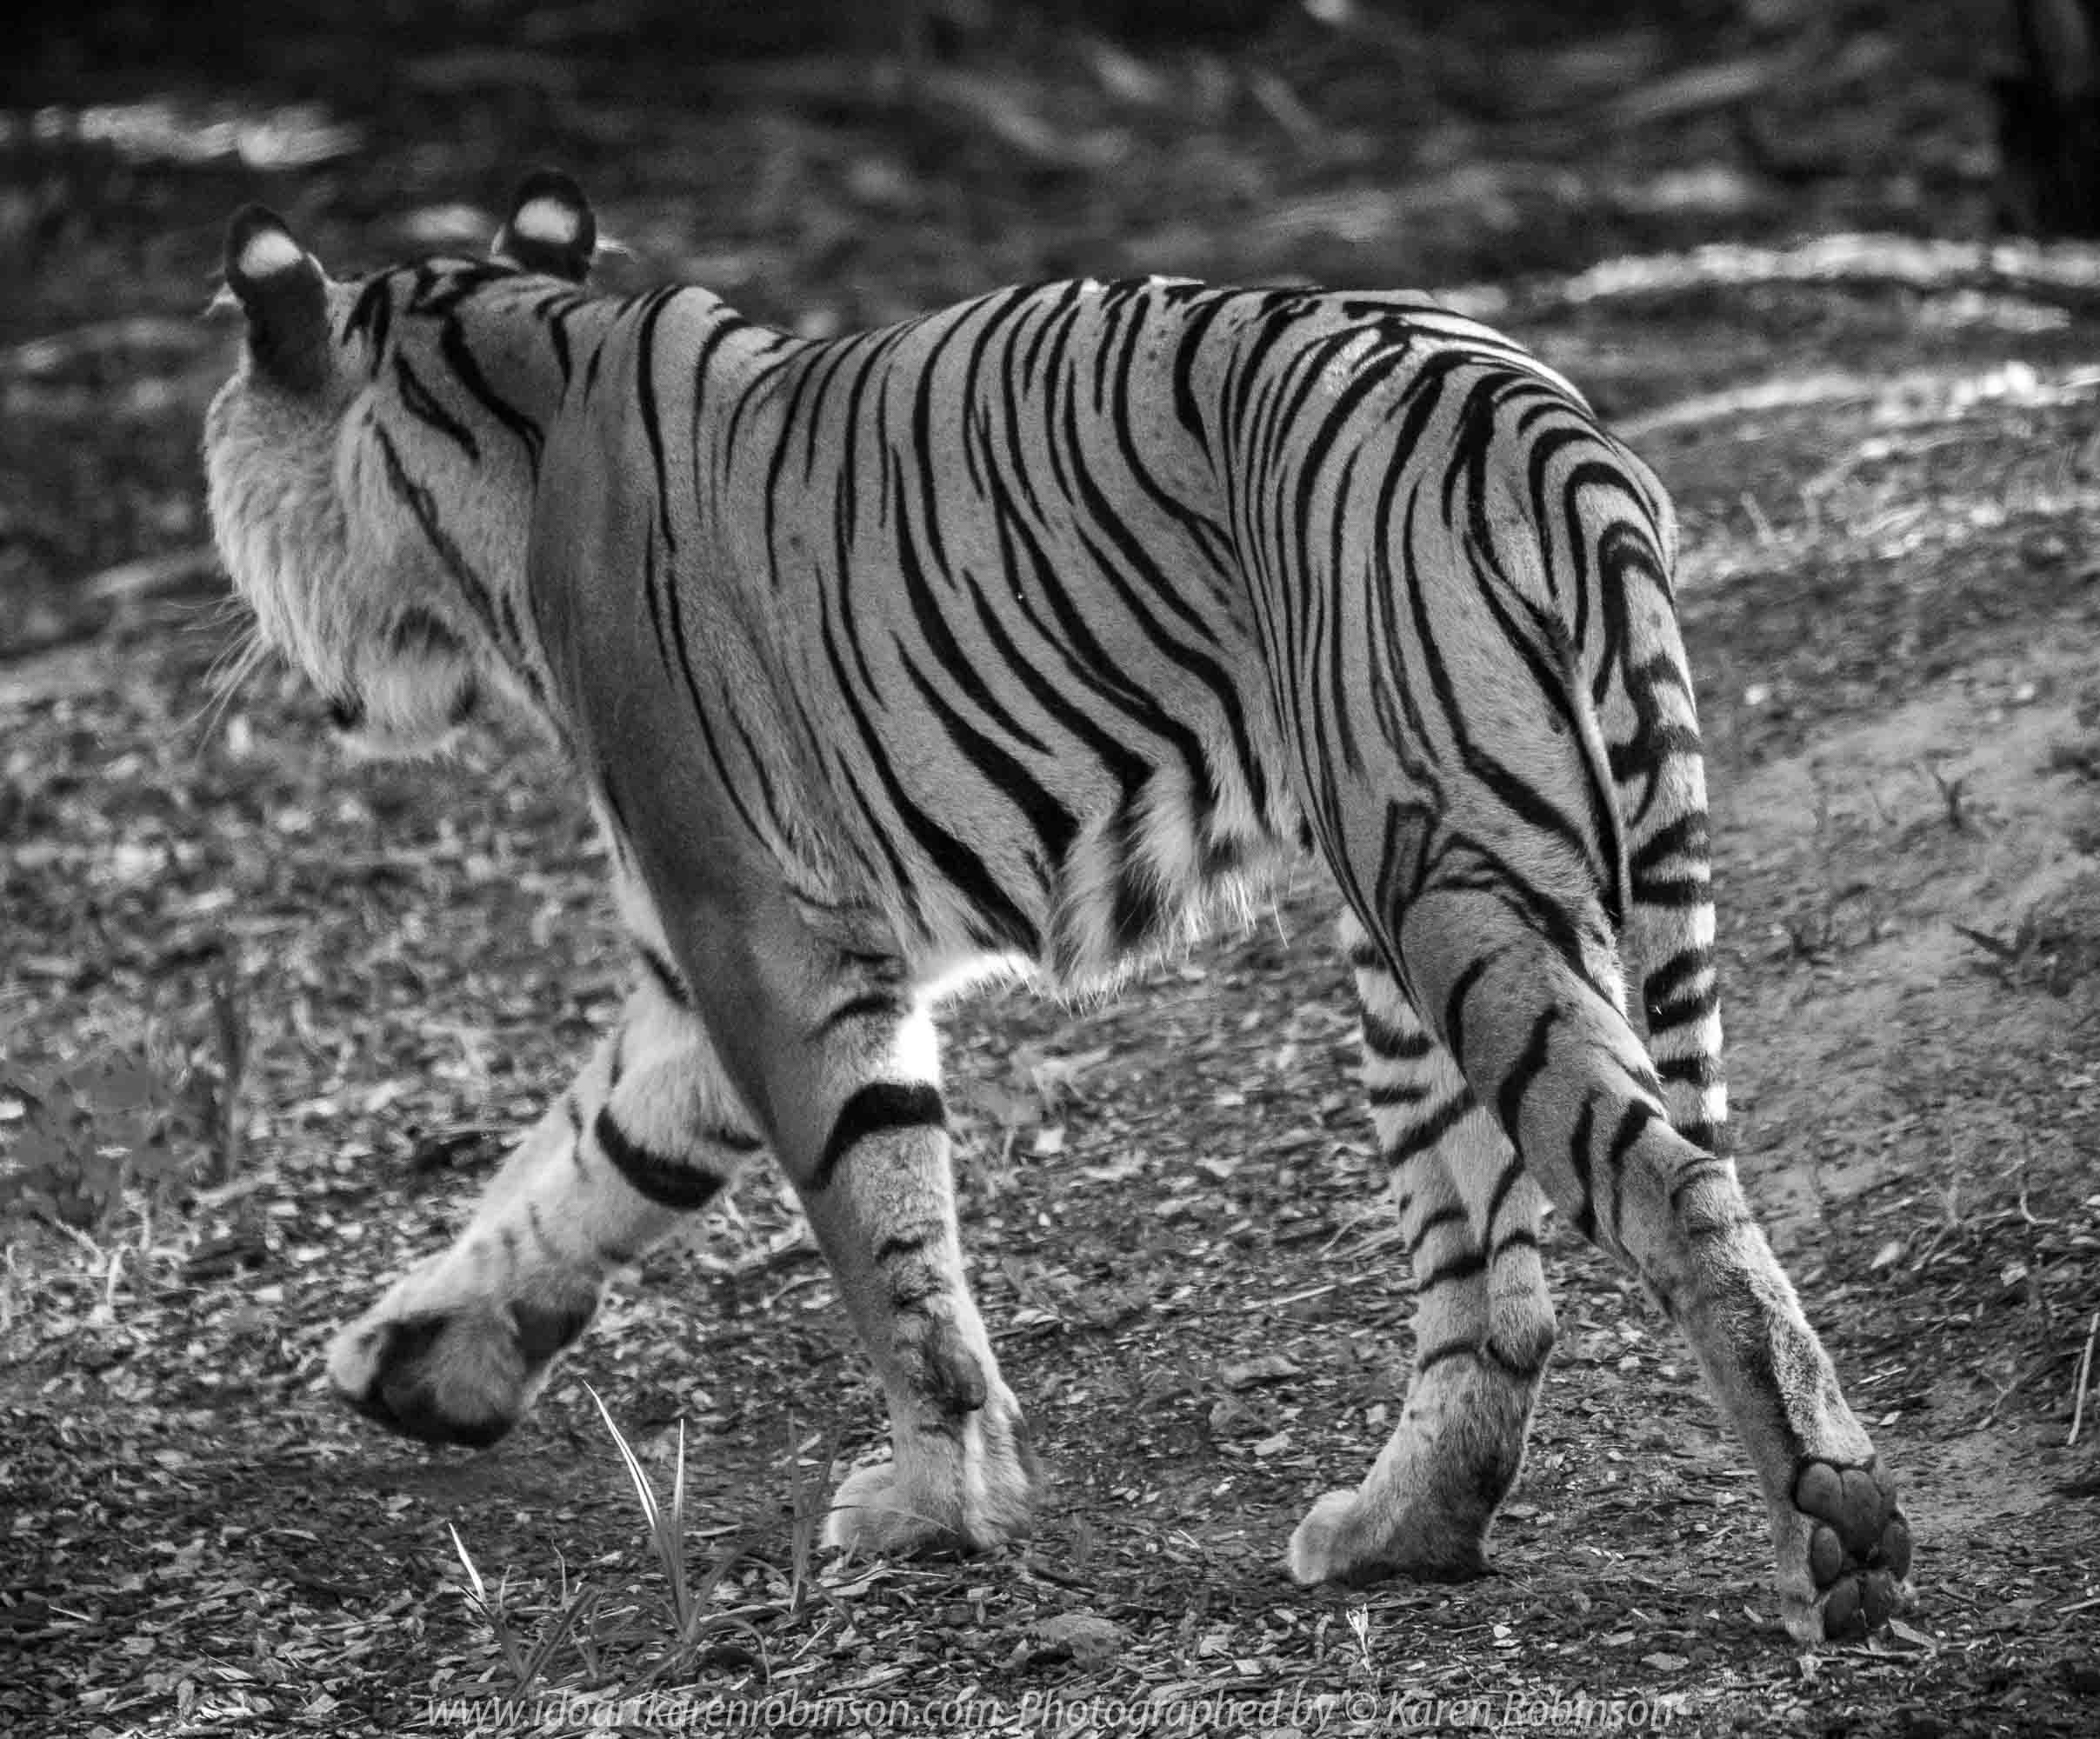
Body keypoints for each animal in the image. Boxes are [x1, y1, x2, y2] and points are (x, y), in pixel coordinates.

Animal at [203, 169, 1911, 1643]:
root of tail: (1545, 422)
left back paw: (1833, 1534)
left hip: (1455, 898)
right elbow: (583, 1158)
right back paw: (1394, 1532)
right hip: (1411, 930)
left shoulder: (769, 933)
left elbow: (872, 1224)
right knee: (1495, 1291)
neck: (499, 410)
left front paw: (931, 1501)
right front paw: (417, 1360)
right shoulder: (706, 971)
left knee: (1670, 1188)